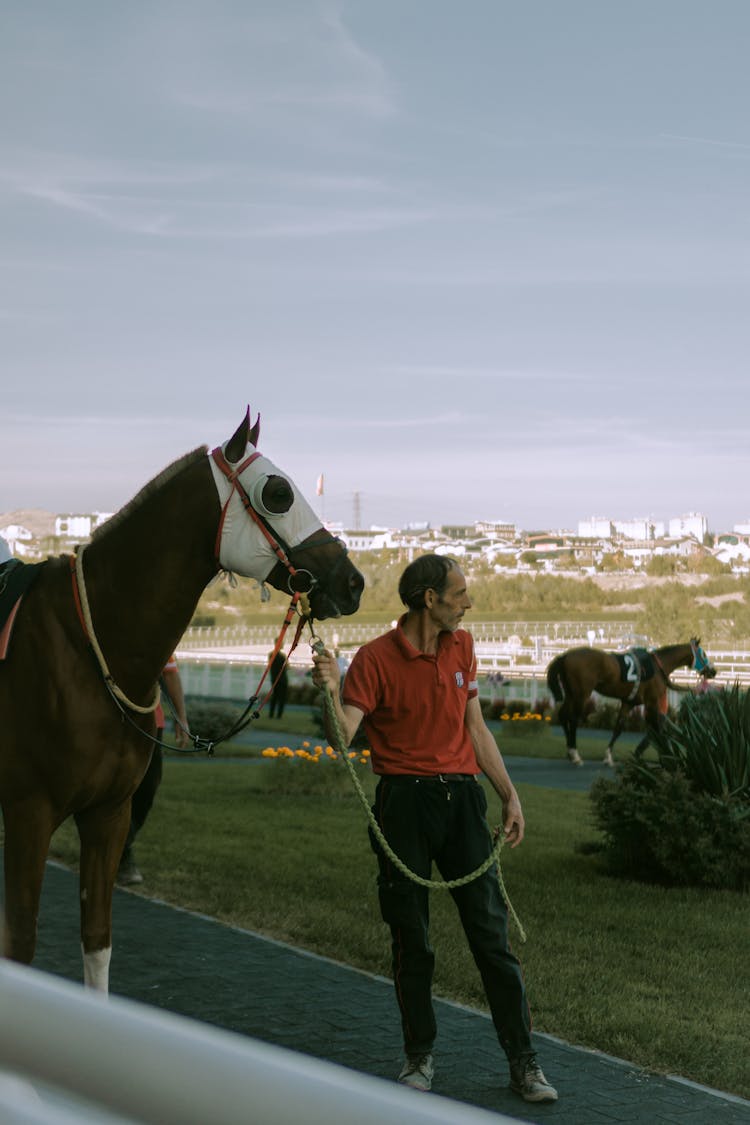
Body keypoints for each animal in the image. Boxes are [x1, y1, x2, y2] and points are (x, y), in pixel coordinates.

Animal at [0, 409, 364, 990]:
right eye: (278, 492)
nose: (352, 582)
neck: (87, 643)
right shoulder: (28, 812)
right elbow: (20, 947)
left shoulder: (108, 814)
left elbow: (97, 941)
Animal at [546, 643, 715, 765]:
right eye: (704, 654)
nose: (713, 671)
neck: (659, 666)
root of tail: (564, 656)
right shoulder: (651, 701)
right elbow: (657, 728)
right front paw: (665, 755)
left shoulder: (629, 703)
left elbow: (619, 728)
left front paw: (609, 757)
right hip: (581, 694)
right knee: (573, 719)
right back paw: (575, 754)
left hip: (571, 693)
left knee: (563, 715)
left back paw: (569, 751)